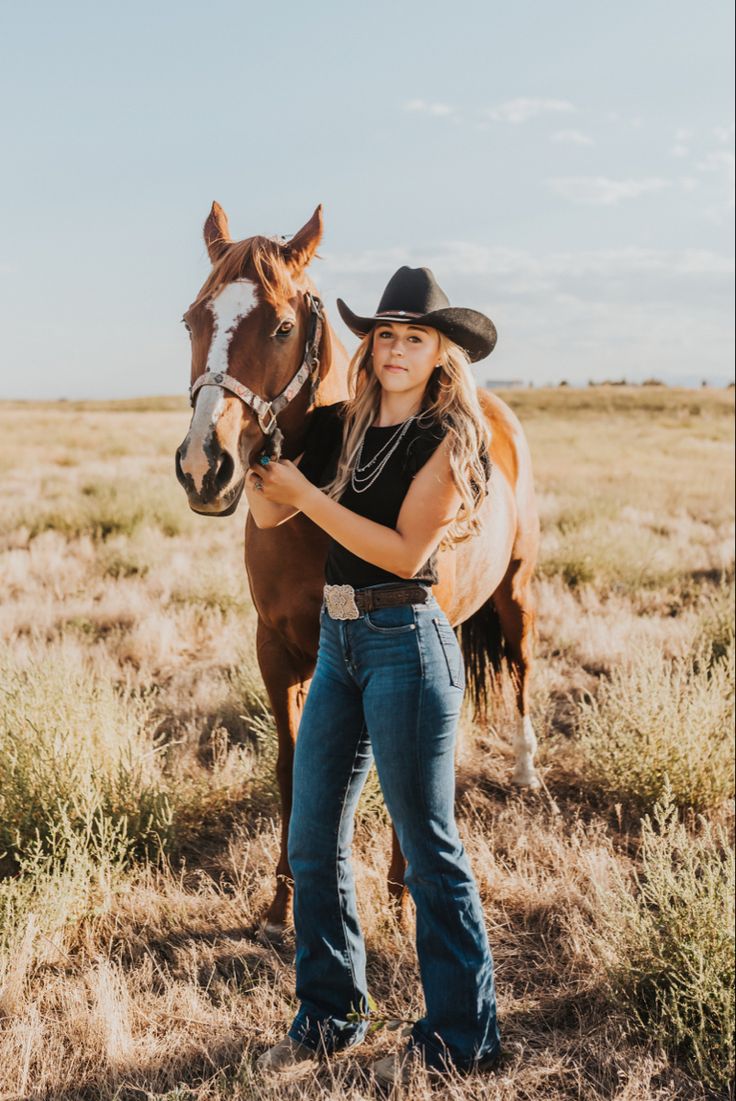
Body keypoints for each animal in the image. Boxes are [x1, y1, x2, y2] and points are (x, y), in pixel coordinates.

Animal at [175, 204, 537, 929]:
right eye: (193, 319)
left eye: (283, 326)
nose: (205, 465)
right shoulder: (275, 650)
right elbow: (293, 771)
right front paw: (283, 901)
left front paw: (400, 899)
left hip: (517, 592)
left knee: (518, 671)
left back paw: (525, 771)